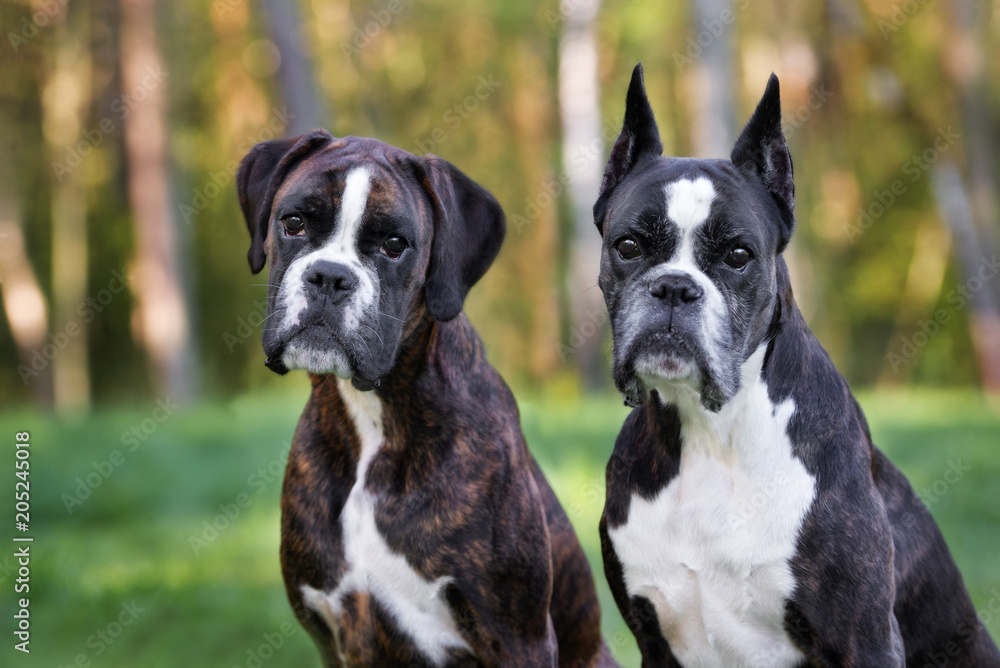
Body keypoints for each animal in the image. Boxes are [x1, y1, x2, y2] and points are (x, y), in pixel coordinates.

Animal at [239, 132, 616, 668]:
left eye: (394, 245)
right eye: (293, 222)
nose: (329, 276)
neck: (373, 419)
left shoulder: (519, 638)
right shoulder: (332, 637)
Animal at [588, 64, 996, 668]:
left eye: (738, 255)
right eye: (629, 246)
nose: (675, 287)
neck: (712, 434)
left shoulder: (865, 639)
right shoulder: (655, 641)